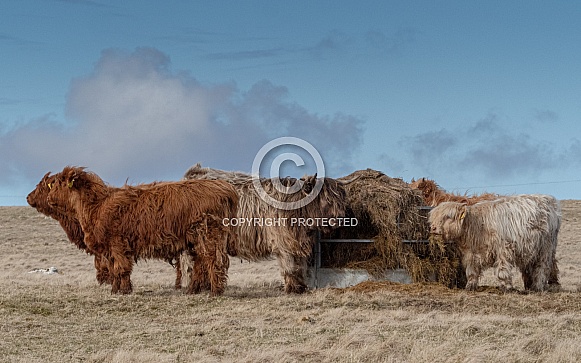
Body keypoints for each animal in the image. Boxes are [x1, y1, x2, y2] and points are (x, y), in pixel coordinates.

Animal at [47, 166, 237, 298]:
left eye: (60, 184)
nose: (49, 198)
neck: (97, 207)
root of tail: (223, 188)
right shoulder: (108, 249)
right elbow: (114, 270)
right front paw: (115, 290)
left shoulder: (117, 244)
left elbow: (121, 268)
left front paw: (124, 290)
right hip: (195, 240)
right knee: (199, 262)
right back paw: (192, 290)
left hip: (208, 234)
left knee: (214, 260)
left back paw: (215, 291)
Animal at [428, 195, 560, 292]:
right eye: (434, 217)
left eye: (447, 216)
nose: (433, 228)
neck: (477, 225)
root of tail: (547, 199)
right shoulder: (470, 254)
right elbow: (471, 271)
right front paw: (470, 286)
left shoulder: (504, 249)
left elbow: (502, 270)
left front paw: (506, 287)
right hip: (530, 249)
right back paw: (529, 286)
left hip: (546, 248)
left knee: (542, 267)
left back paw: (538, 287)